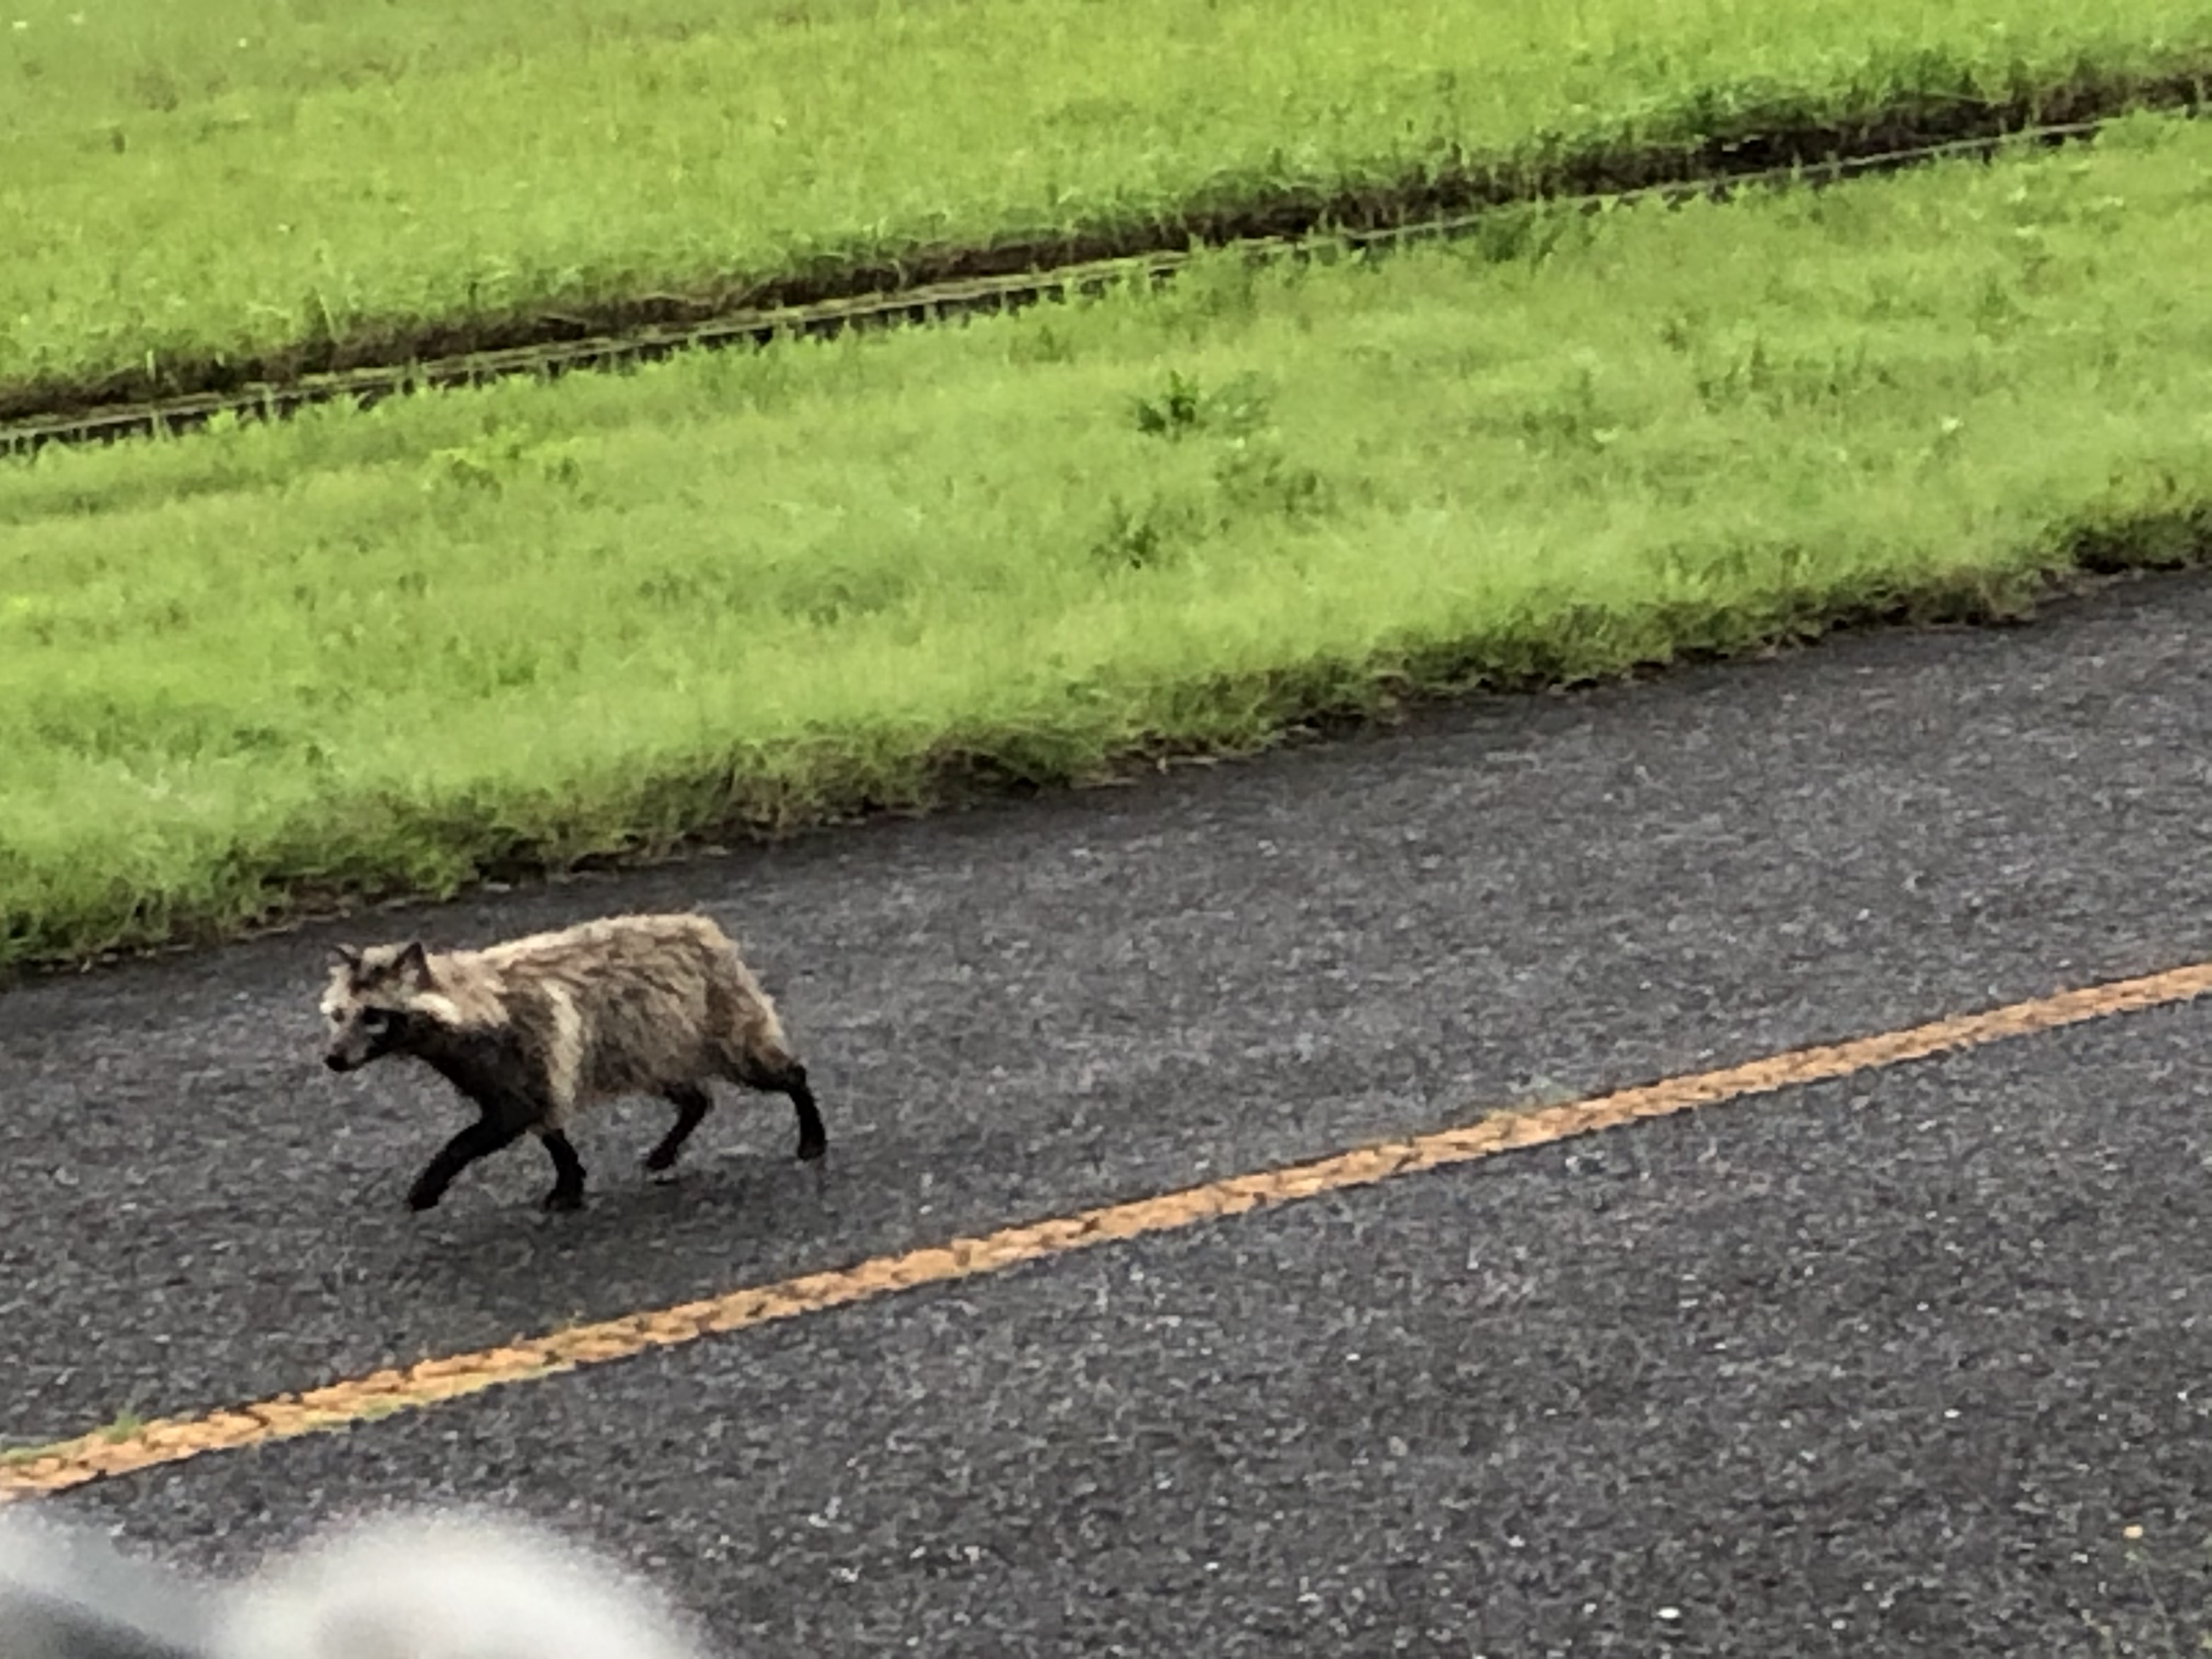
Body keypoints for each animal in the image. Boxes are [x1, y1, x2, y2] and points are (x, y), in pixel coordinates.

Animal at [316, 916, 827, 1212]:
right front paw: (568, 1177)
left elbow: (484, 1132)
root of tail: (706, 930)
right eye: (339, 1015)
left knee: (776, 1070)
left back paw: (809, 1127)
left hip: (716, 1017)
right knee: (692, 1096)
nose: (332, 1060)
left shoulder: (526, 1047)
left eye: (374, 1016)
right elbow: (547, 1126)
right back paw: (670, 1143)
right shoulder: (517, 1069)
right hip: (646, 1043)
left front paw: (431, 1182)